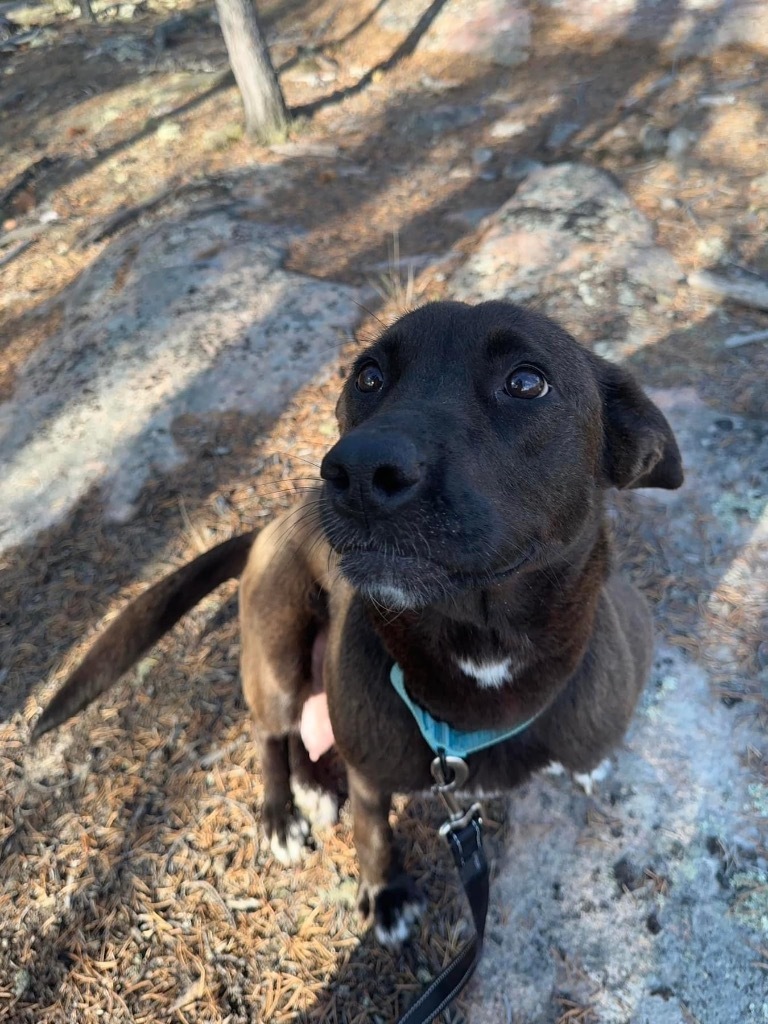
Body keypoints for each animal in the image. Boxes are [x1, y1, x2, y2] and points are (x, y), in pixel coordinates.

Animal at [36, 301, 684, 942]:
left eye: (527, 382)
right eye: (368, 376)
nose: (360, 470)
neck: (481, 658)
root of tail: (271, 525)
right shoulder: (373, 773)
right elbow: (373, 832)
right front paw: (387, 893)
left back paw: (314, 787)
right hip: (276, 654)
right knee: (271, 731)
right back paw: (283, 813)